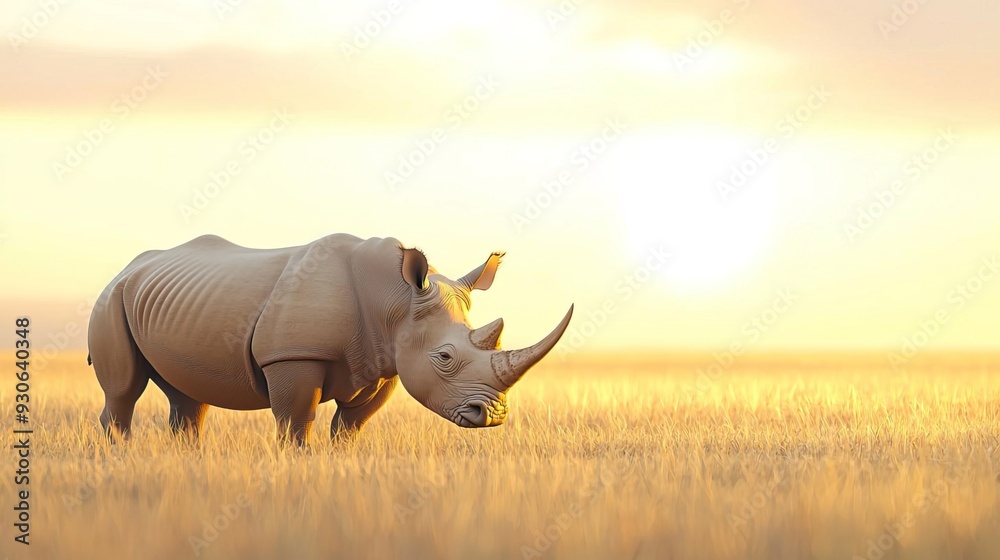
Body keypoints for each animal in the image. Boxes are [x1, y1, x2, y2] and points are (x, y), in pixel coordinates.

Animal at [87, 234, 573, 444]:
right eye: (445, 357)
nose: (492, 416)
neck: (396, 301)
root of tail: (126, 267)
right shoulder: (292, 356)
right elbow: (296, 422)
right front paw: (296, 467)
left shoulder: (384, 363)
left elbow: (352, 425)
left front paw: (342, 465)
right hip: (110, 300)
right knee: (124, 391)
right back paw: (119, 455)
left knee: (188, 398)